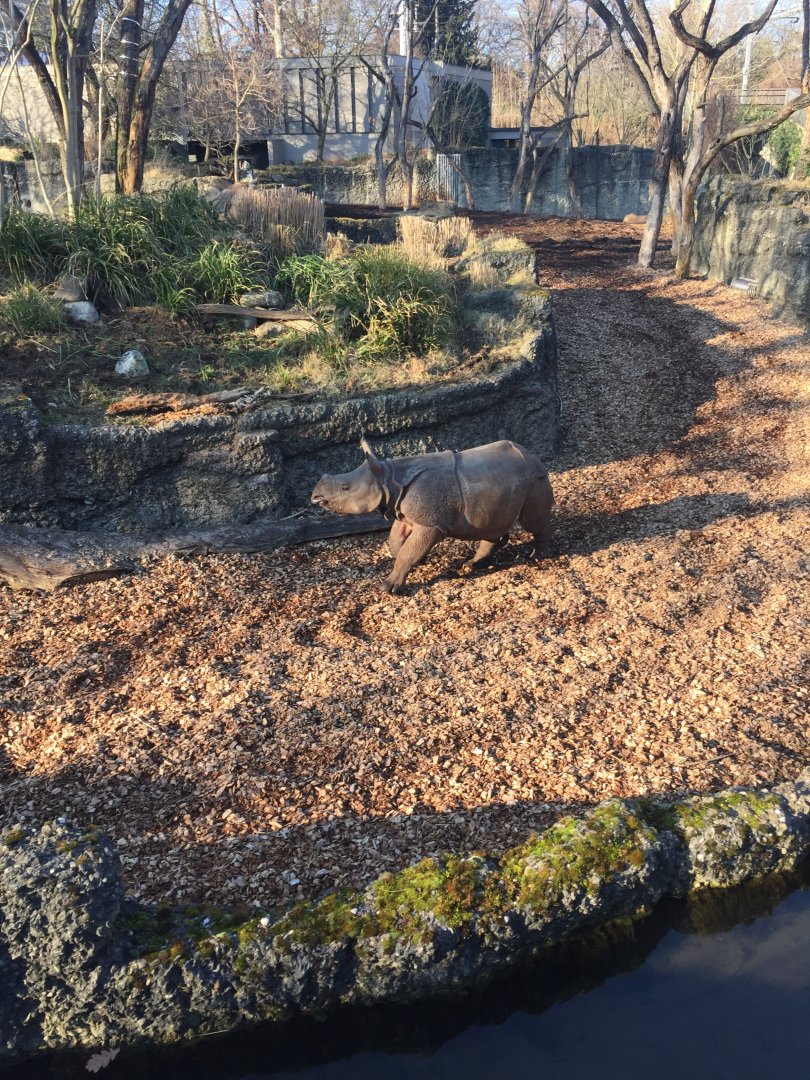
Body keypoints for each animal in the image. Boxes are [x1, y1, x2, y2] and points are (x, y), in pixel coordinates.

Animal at [311, 438, 553, 594]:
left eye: (345, 488)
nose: (315, 496)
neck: (389, 479)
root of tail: (532, 455)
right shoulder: (408, 514)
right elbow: (397, 542)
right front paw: (421, 560)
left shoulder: (431, 524)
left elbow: (407, 551)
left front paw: (388, 588)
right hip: (500, 481)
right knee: (491, 525)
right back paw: (471, 565)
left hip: (535, 477)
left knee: (531, 523)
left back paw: (537, 556)